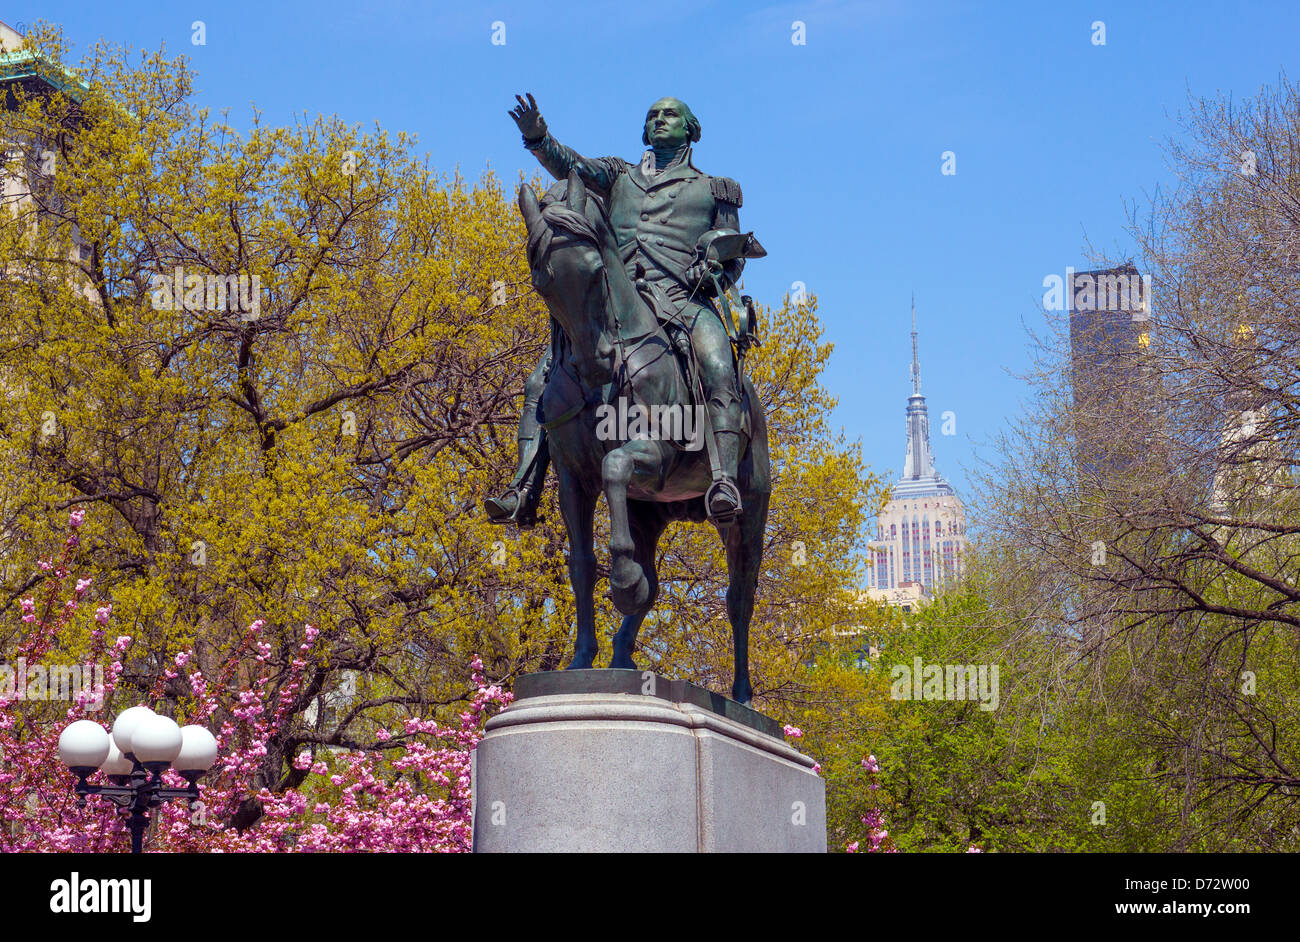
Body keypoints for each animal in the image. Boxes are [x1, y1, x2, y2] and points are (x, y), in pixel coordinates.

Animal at [512, 172, 764, 706]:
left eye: (594, 271)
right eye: (543, 282)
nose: (597, 361)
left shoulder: (656, 454)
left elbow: (616, 465)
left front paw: (623, 584)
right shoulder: (573, 479)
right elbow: (582, 563)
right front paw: (582, 658)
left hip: (748, 515)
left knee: (740, 598)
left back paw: (742, 694)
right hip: (649, 511)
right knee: (654, 579)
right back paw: (624, 658)